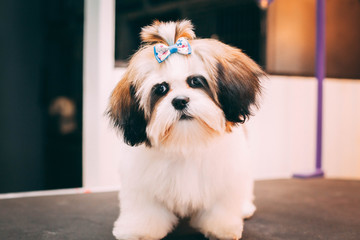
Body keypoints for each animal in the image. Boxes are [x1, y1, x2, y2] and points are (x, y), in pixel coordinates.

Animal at [108, 20, 262, 240]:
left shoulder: (225, 177)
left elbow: (220, 206)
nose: (180, 101)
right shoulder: (141, 184)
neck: (186, 141)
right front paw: (139, 229)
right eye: (161, 89)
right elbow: (145, 209)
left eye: (196, 81)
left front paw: (220, 228)